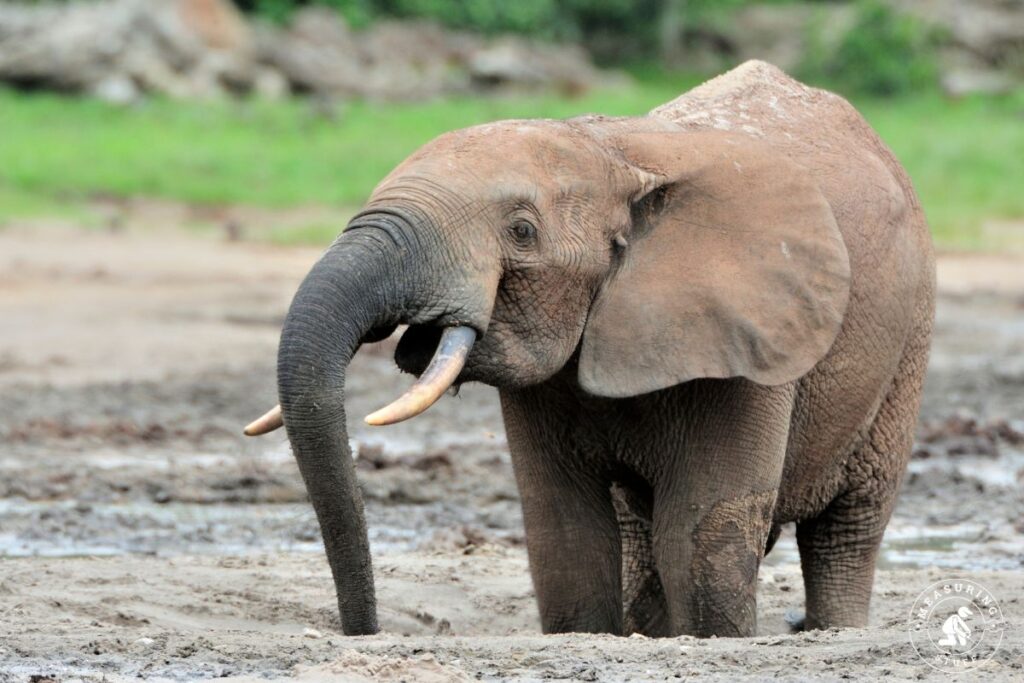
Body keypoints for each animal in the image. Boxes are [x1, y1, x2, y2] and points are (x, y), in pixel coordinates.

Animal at [244, 60, 935, 638]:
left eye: (521, 231)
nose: (363, 630)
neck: (614, 153)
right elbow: (565, 532)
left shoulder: (753, 336)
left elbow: (701, 531)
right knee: (637, 527)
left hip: (908, 341)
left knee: (848, 529)